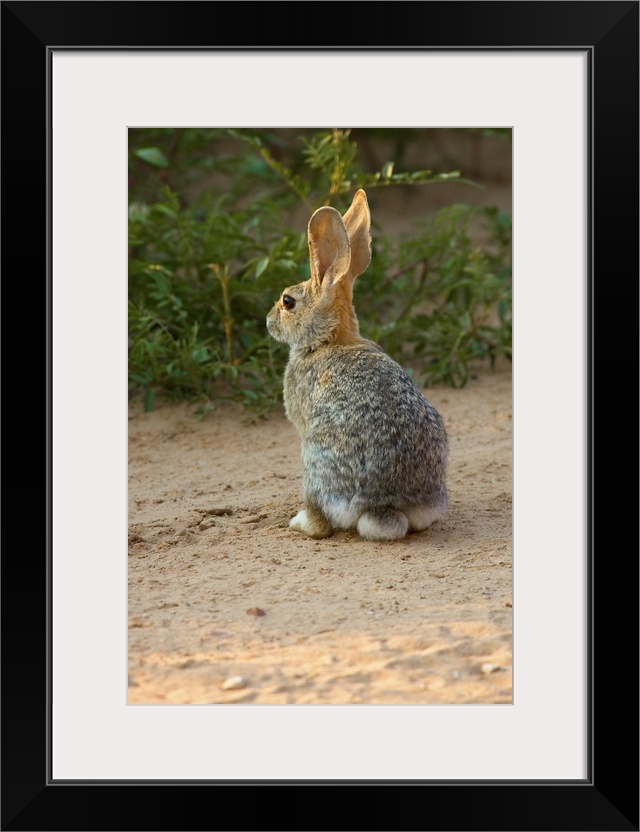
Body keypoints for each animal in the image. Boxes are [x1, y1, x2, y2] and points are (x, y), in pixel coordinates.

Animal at [268, 187, 448, 540]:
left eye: (288, 301)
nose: (268, 320)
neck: (328, 340)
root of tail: (384, 505)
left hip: (313, 461)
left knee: (320, 523)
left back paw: (298, 522)